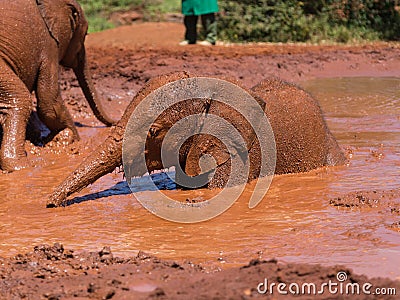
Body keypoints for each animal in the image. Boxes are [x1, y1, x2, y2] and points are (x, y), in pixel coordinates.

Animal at [0, 0, 115, 172]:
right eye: (85, 34)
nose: (115, 121)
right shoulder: (49, 46)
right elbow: (49, 102)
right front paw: (75, 141)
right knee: (20, 98)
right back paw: (21, 167)